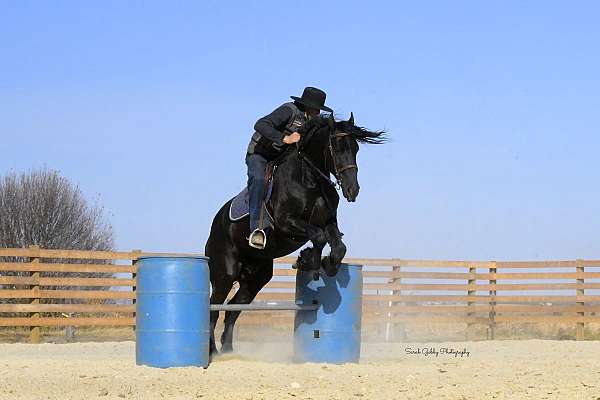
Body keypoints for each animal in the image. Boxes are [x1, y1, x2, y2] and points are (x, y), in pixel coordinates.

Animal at [205, 113, 384, 360]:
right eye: (336, 147)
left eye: (356, 148)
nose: (352, 190)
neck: (309, 179)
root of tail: (215, 224)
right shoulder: (286, 223)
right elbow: (318, 237)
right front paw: (307, 259)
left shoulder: (329, 222)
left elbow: (338, 246)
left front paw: (324, 263)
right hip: (224, 273)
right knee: (214, 308)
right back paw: (212, 352)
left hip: (256, 278)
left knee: (233, 310)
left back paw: (229, 351)